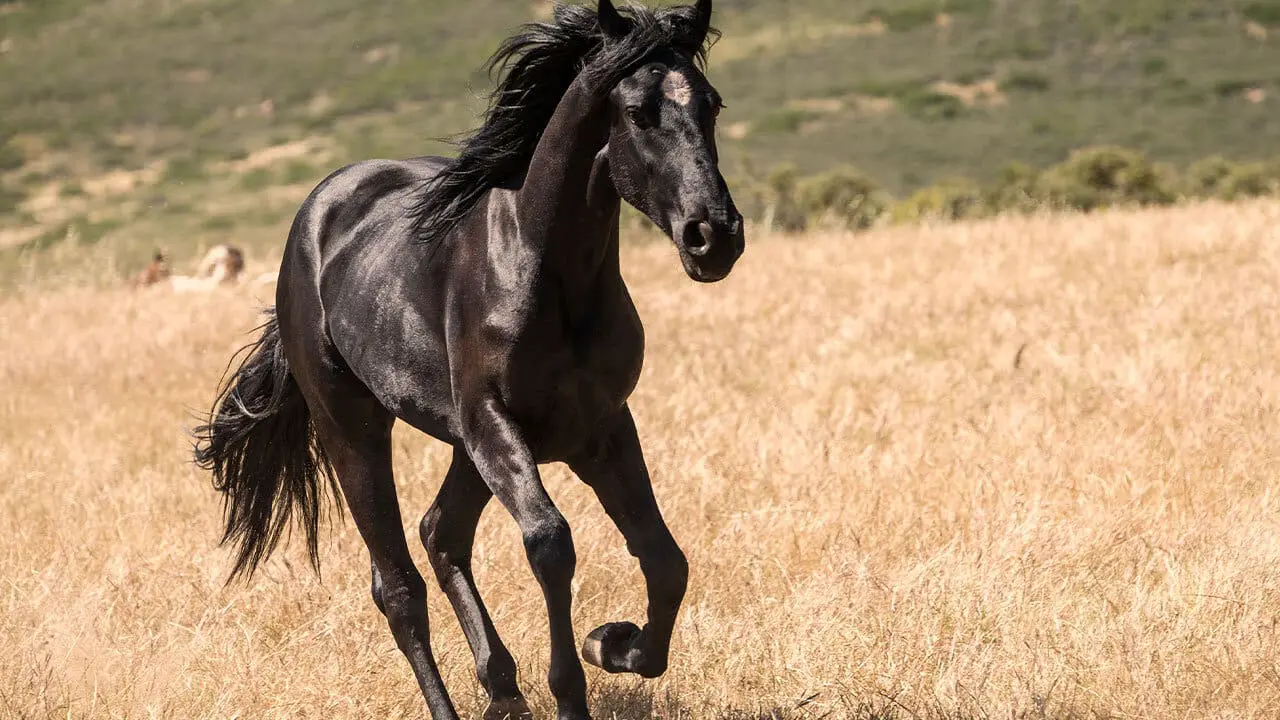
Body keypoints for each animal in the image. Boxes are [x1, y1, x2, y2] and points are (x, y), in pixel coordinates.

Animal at [193, 1, 743, 718]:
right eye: (635, 111)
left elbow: (664, 557)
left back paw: (503, 686)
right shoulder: (494, 423)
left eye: (711, 103)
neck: (546, 277)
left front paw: (614, 645)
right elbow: (550, 543)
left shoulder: (600, 429)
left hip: (464, 445)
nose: (714, 236)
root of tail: (315, 218)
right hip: (354, 429)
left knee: (440, 532)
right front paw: (574, 684)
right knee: (398, 586)